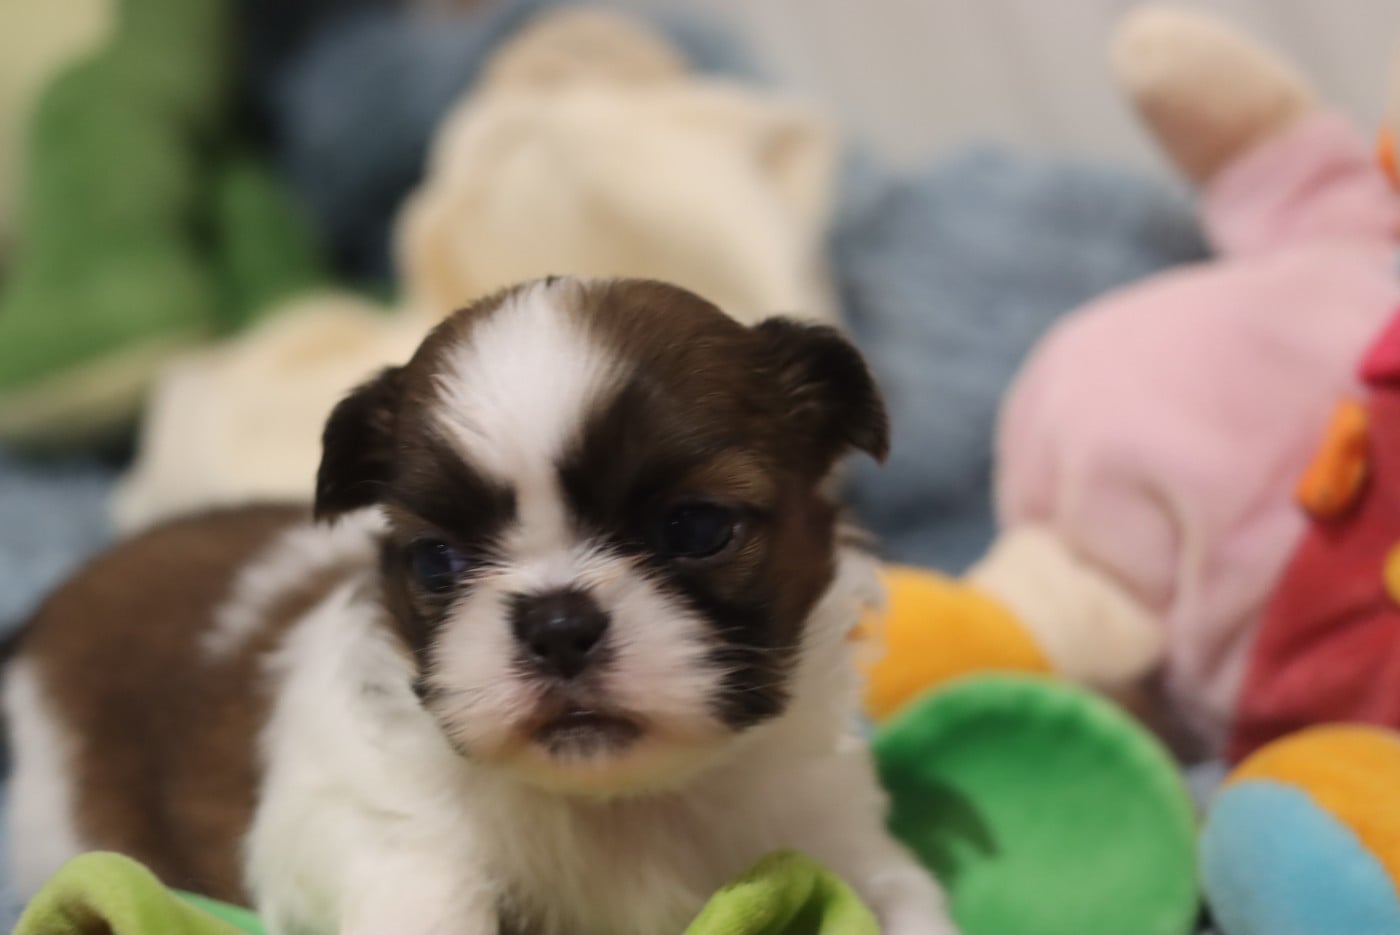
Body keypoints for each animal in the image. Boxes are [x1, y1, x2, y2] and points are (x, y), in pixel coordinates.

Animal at [4, 277, 955, 934]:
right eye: (439, 560)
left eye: (696, 527)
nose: (558, 625)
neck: (619, 807)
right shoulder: (356, 823)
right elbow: (426, 884)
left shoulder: (834, 834)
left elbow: (901, 899)